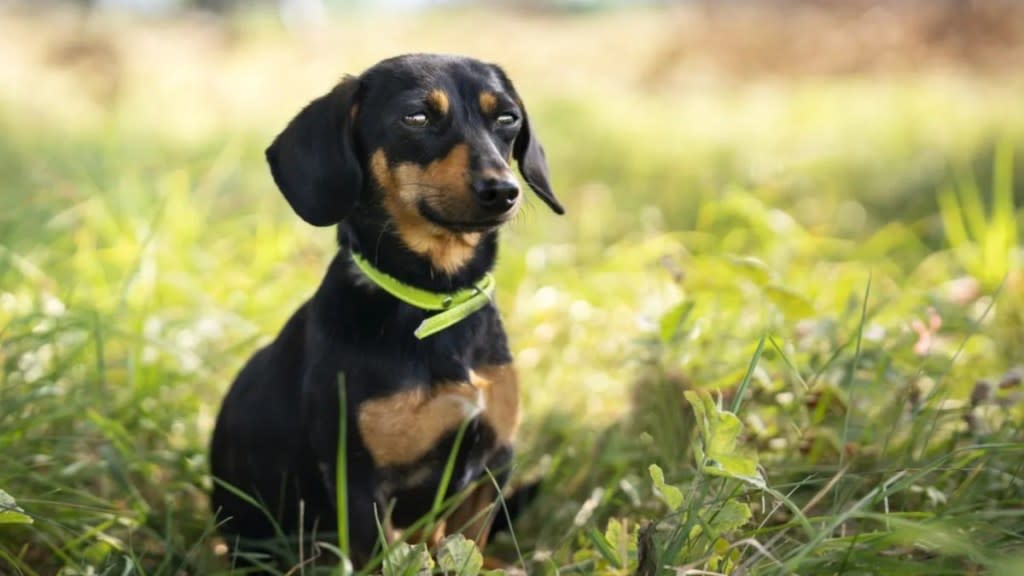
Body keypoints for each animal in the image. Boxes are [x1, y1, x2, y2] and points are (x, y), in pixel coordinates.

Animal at [207, 52, 561, 565]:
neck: (435, 303)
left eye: (507, 118)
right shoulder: (359, 484)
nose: (502, 190)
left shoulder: (492, 467)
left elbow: (469, 551)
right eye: (416, 117)